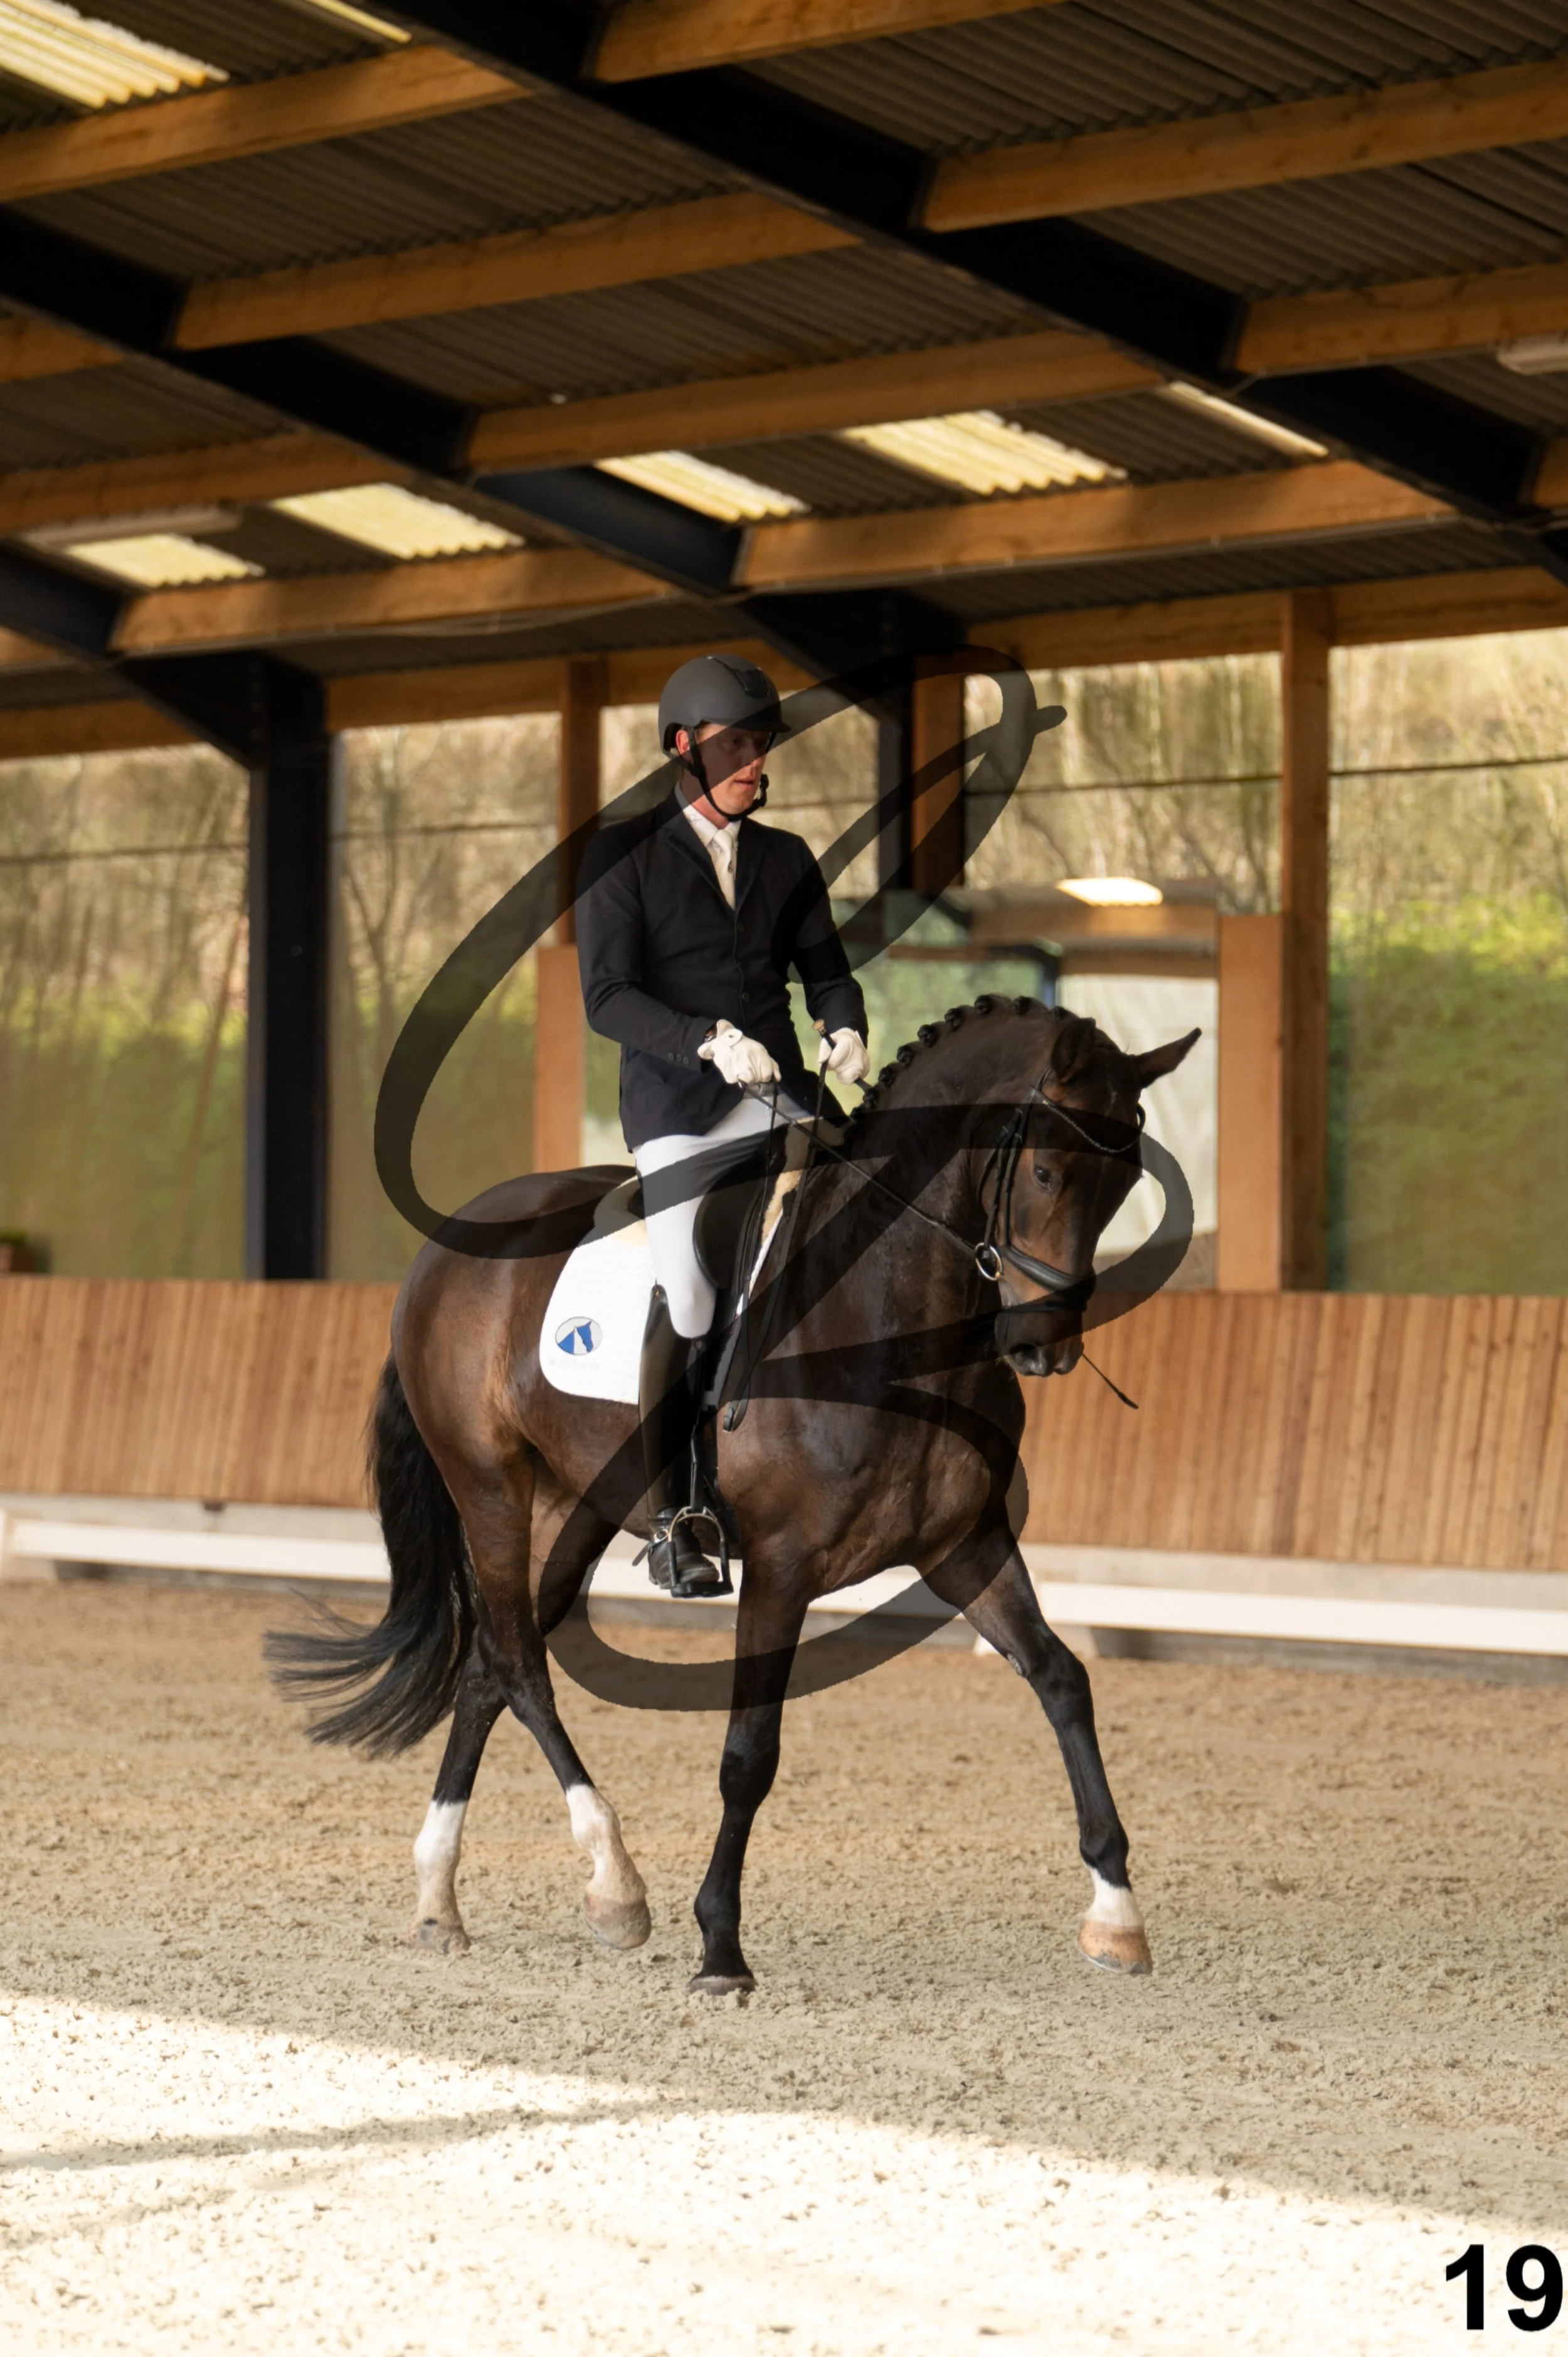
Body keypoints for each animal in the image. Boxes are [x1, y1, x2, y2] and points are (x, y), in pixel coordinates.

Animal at [268, 995, 1197, 1993]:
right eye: (1047, 1170)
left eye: (1123, 1183)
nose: (1042, 1346)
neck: (886, 1315)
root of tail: (444, 1250)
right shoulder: (784, 1566)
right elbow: (750, 1753)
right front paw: (720, 1947)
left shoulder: (965, 1544)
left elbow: (1063, 1680)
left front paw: (1117, 1914)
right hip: (490, 1488)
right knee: (518, 1665)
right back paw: (614, 1884)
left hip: (574, 1507)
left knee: (486, 1665)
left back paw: (441, 1898)